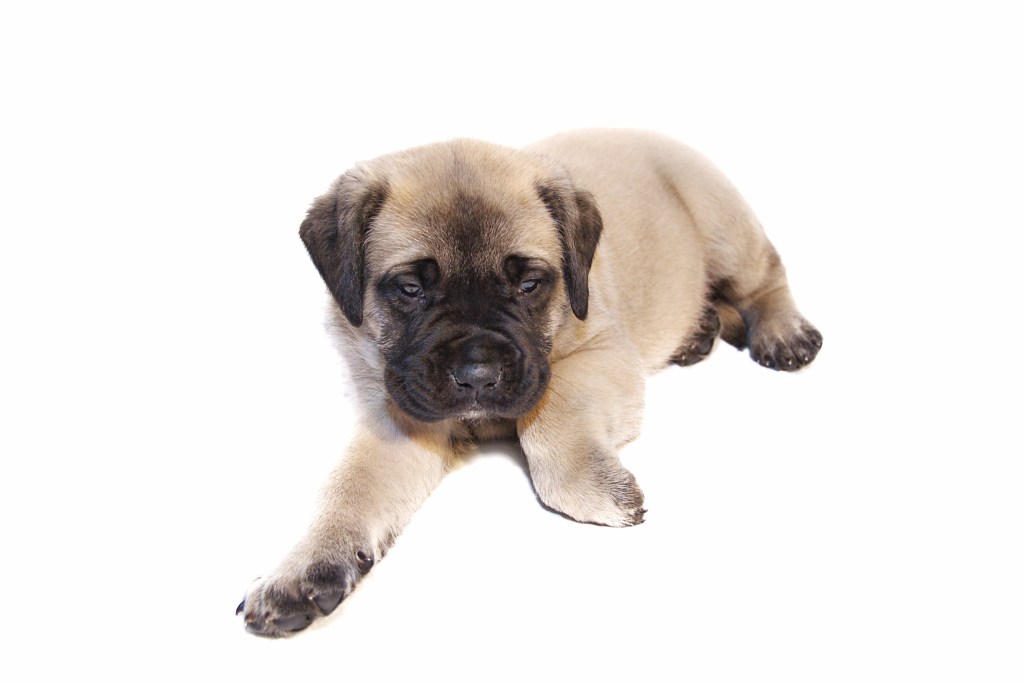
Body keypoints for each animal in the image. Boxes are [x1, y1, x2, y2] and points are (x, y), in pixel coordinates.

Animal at [235, 129, 819, 634]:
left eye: (529, 285)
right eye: (410, 289)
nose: (478, 377)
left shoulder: (600, 354)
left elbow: (551, 415)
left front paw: (591, 486)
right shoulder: (399, 413)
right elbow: (350, 488)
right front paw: (302, 568)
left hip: (725, 229)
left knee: (767, 276)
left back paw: (782, 332)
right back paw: (699, 330)